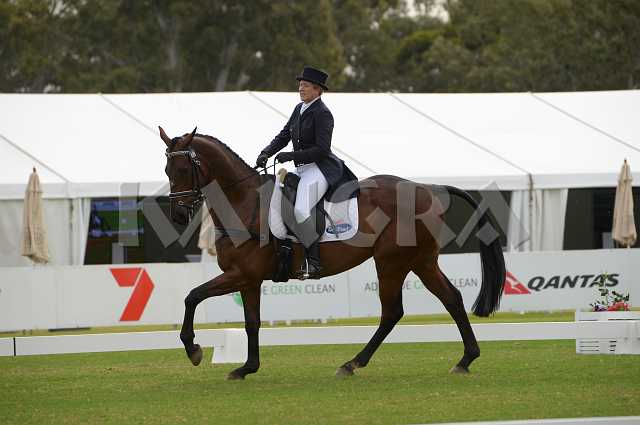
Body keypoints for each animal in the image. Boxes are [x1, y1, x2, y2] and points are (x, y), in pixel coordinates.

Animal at [160, 127, 505, 380]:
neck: (244, 203)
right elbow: (251, 322)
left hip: (392, 262)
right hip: (421, 261)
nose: (178, 215)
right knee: (451, 299)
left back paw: (352, 364)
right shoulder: (248, 280)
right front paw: (246, 368)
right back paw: (465, 359)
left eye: (183, 168)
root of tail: (427, 188)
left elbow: (192, 296)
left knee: (393, 312)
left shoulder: (240, 274)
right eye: (166, 169)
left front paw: (193, 349)